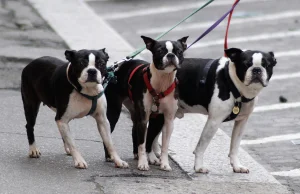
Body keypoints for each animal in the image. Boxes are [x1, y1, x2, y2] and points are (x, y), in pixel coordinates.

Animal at [103, 35, 188, 171]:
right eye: (160, 51)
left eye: (179, 51)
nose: (170, 55)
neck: (162, 81)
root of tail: (115, 67)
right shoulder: (144, 118)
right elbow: (142, 143)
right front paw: (143, 163)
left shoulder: (166, 120)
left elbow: (161, 144)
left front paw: (163, 163)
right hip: (114, 111)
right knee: (108, 133)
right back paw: (110, 157)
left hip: (137, 113)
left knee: (135, 131)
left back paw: (139, 155)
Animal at [144, 47, 278, 174]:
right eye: (246, 64)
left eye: (267, 65)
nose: (257, 69)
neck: (233, 84)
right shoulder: (214, 121)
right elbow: (201, 146)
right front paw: (198, 167)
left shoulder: (241, 122)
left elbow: (235, 147)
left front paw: (237, 166)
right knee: (150, 136)